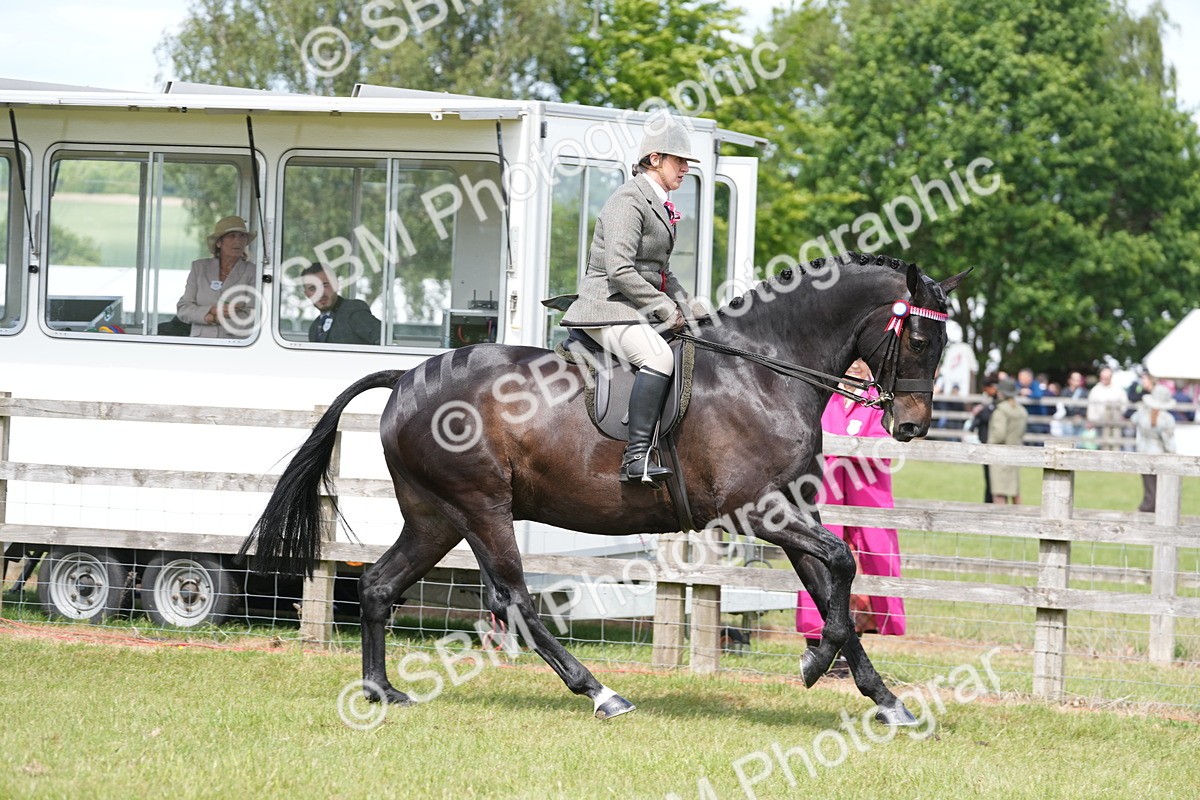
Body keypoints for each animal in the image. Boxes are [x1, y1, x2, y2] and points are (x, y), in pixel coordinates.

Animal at [240, 252, 967, 724]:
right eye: (921, 338)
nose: (911, 425)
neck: (763, 371)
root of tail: (406, 378)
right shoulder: (756, 511)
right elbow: (841, 563)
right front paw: (817, 665)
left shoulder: (789, 509)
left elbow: (830, 584)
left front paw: (881, 697)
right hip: (481, 508)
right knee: (516, 602)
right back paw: (601, 693)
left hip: (435, 516)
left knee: (379, 585)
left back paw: (380, 690)